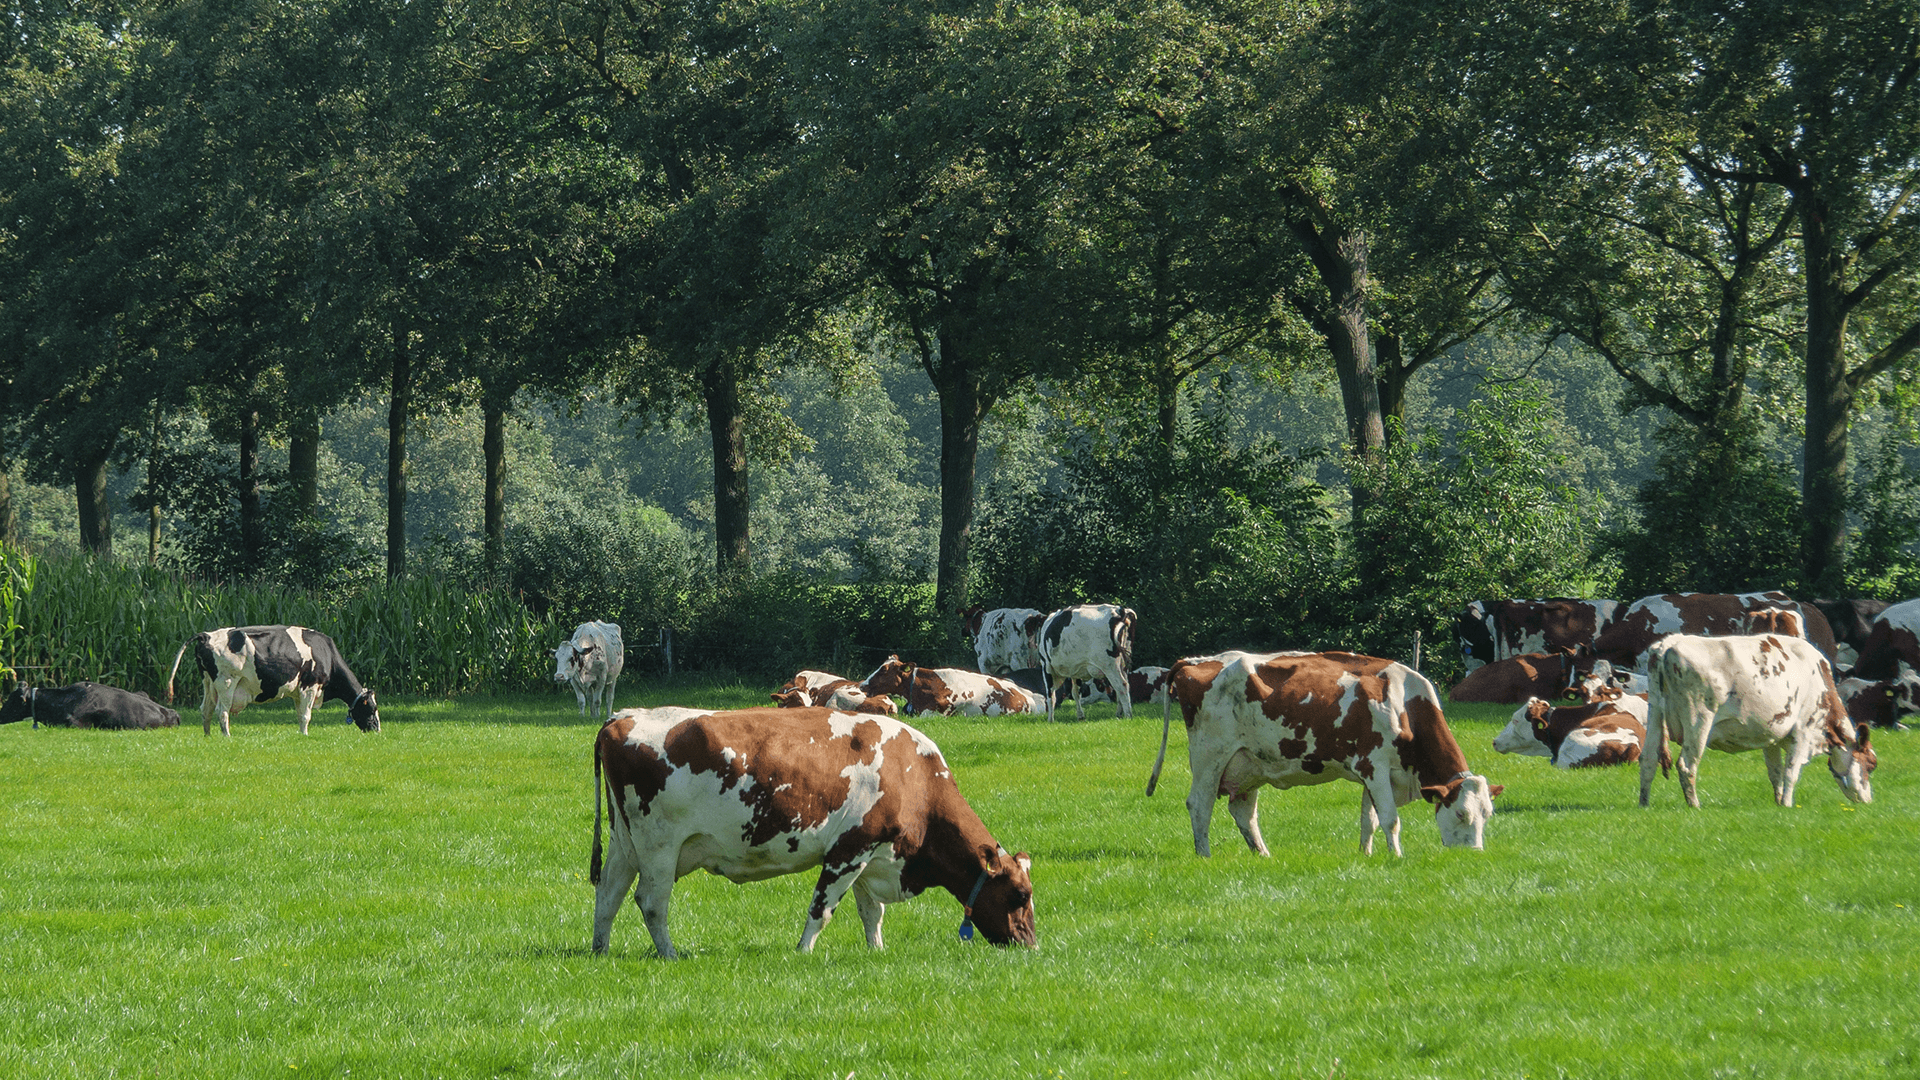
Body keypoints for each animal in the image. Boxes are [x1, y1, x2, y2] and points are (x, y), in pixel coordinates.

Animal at [166, 625, 380, 736]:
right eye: (372, 708)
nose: (377, 730)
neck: (326, 653)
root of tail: (206, 635)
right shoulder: (309, 686)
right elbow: (306, 716)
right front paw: (305, 735)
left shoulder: (298, 691)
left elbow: (300, 714)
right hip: (226, 682)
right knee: (222, 712)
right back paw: (226, 736)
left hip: (208, 683)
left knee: (206, 710)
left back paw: (208, 736)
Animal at [589, 706, 1037, 958]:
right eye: (1019, 895)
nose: (1031, 944)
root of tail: (621, 717)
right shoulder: (848, 851)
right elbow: (822, 909)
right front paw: (803, 952)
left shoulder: (872, 854)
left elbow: (872, 912)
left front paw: (876, 951)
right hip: (658, 846)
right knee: (650, 902)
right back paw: (670, 954)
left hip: (625, 844)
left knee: (608, 896)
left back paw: (600, 950)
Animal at [1148, 650, 1501, 858]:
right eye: (1461, 814)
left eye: (1487, 815)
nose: (1474, 854)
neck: (1404, 703)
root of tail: (1197, 660)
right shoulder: (1374, 765)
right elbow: (1390, 819)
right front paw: (1397, 857)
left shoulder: (1373, 774)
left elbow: (1369, 819)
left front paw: (1366, 855)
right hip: (1210, 756)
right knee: (1199, 804)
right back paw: (1204, 854)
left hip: (1249, 763)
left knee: (1243, 812)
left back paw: (1263, 855)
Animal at [1640, 633, 1875, 809]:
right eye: (1871, 764)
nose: (1869, 800)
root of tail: (1669, 642)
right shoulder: (1803, 730)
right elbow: (1791, 771)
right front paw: (1787, 804)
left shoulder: (1771, 735)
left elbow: (1775, 772)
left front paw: (1778, 803)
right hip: (1698, 718)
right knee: (1687, 765)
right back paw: (1694, 805)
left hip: (1655, 712)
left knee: (1648, 760)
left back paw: (1644, 804)